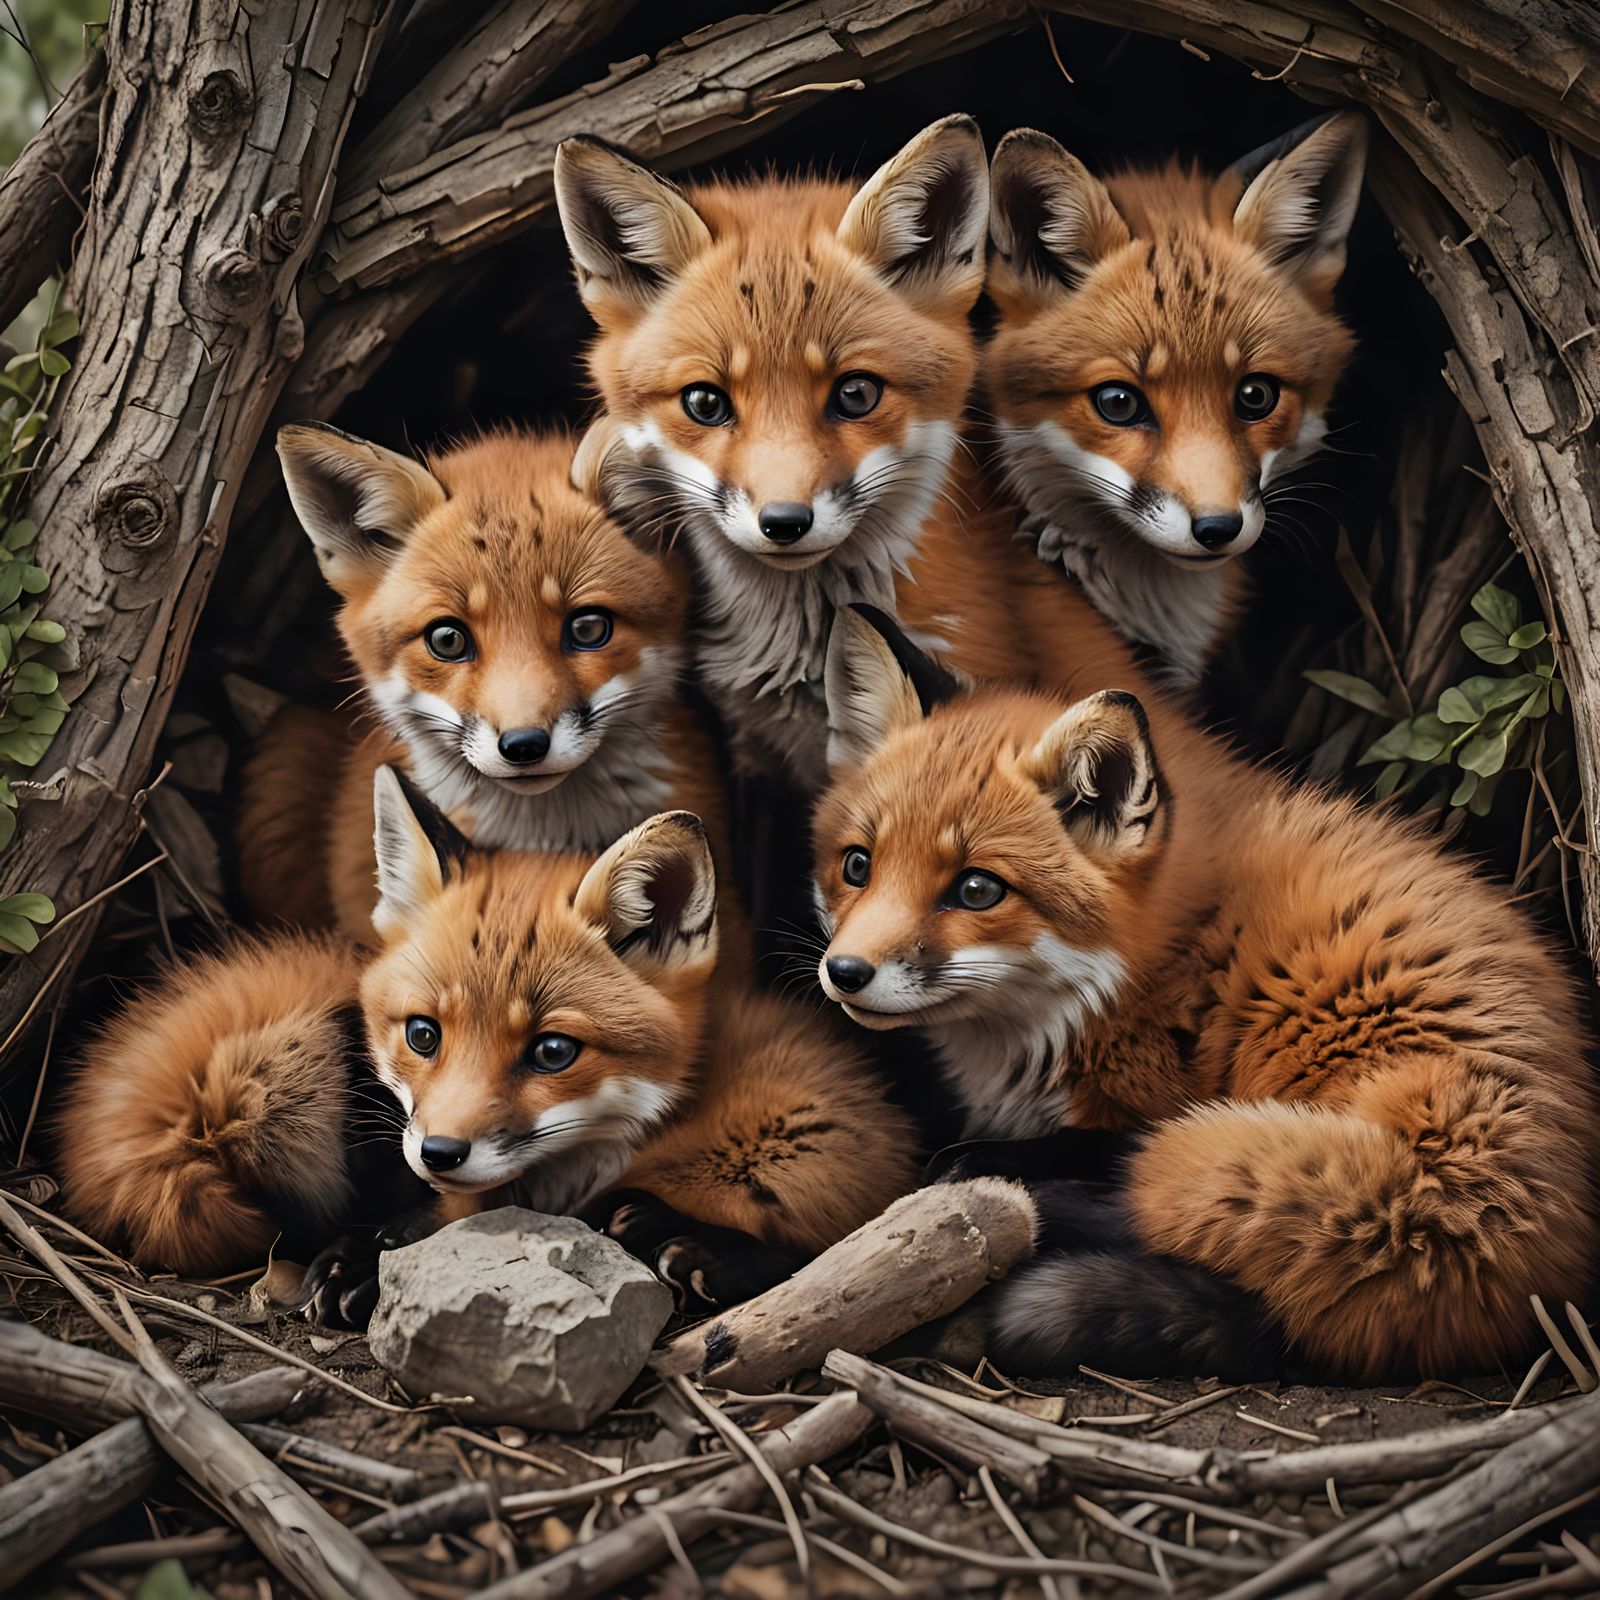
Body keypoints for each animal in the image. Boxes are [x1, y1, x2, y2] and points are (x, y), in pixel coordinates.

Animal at [60, 767, 919, 1322]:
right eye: (422, 1034)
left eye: (552, 1052)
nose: (440, 1152)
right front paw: (365, 1257)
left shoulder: (829, 1142)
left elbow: (833, 1236)